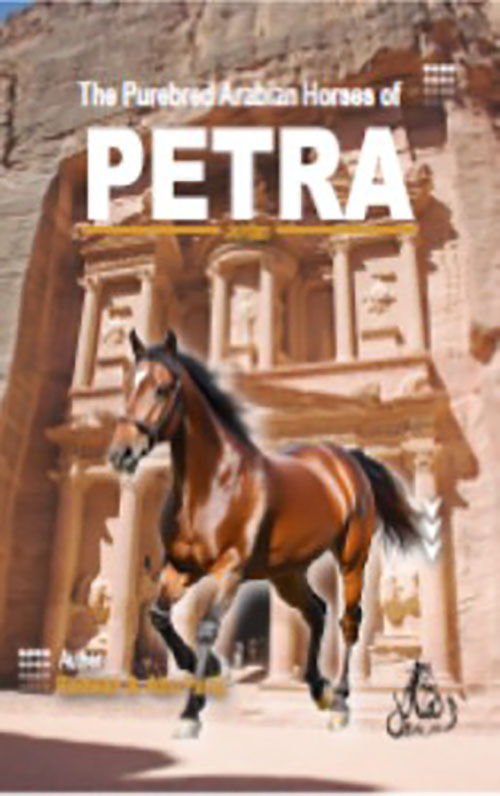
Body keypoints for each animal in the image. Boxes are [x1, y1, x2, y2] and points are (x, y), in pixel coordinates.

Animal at [108, 328, 422, 737]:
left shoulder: (230, 569)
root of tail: (345, 458)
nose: (121, 453)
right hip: (287, 573)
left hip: (352, 558)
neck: (212, 484)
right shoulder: (180, 567)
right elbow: (158, 615)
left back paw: (339, 702)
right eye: (128, 383)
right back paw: (318, 689)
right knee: (317, 611)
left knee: (349, 622)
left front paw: (191, 710)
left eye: (162, 388)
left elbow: (206, 628)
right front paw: (202, 666)